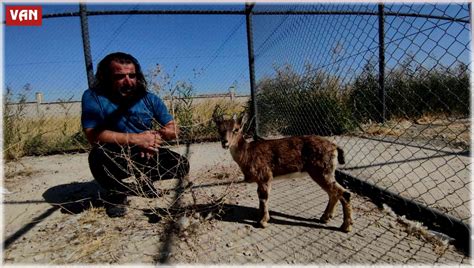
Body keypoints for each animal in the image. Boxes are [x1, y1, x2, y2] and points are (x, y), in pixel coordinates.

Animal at [213, 110, 354, 231]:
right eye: (219, 130)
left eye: (236, 129)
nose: (225, 142)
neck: (248, 154)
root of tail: (335, 147)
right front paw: (260, 217)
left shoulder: (265, 175)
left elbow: (264, 198)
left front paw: (263, 222)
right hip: (325, 172)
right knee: (334, 193)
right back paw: (325, 218)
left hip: (321, 171)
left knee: (344, 193)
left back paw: (345, 226)